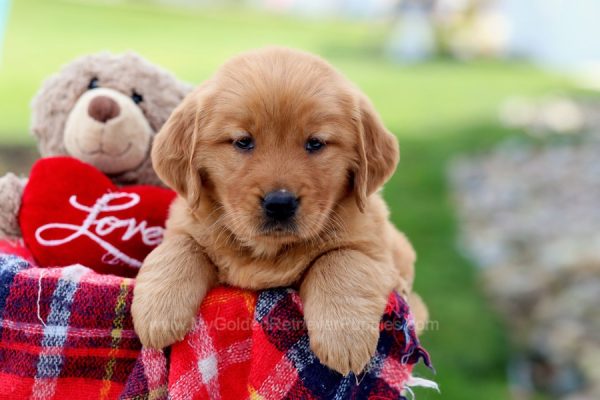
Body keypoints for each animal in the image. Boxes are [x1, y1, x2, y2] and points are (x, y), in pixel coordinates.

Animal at [131, 47, 422, 376]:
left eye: (315, 143)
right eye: (243, 141)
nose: (279, 203)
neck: (268, 251)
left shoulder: (378, 252)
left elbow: (340, 259)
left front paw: (344, 338)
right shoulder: (186, 221)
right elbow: (178, 247)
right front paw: (158, 311)